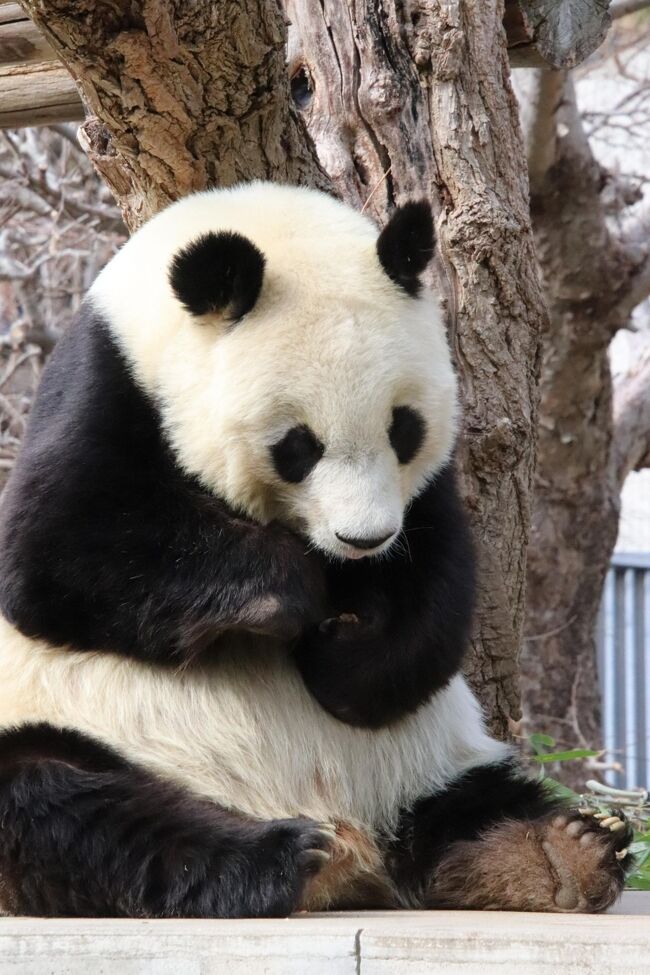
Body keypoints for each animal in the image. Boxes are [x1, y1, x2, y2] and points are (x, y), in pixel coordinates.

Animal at [0, 185, 632, 924]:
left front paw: (340, 657)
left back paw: (561, 849)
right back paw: (270, 857)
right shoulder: (105, 387)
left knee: (475, 801)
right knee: (64, 807)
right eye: (298, 445)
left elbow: (437, 592)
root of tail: (357, 848)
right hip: (86, 728)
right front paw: (291, 597)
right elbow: (56, 554)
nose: (364, 541)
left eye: (403, 428)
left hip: (429, 760)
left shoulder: (426, 493)